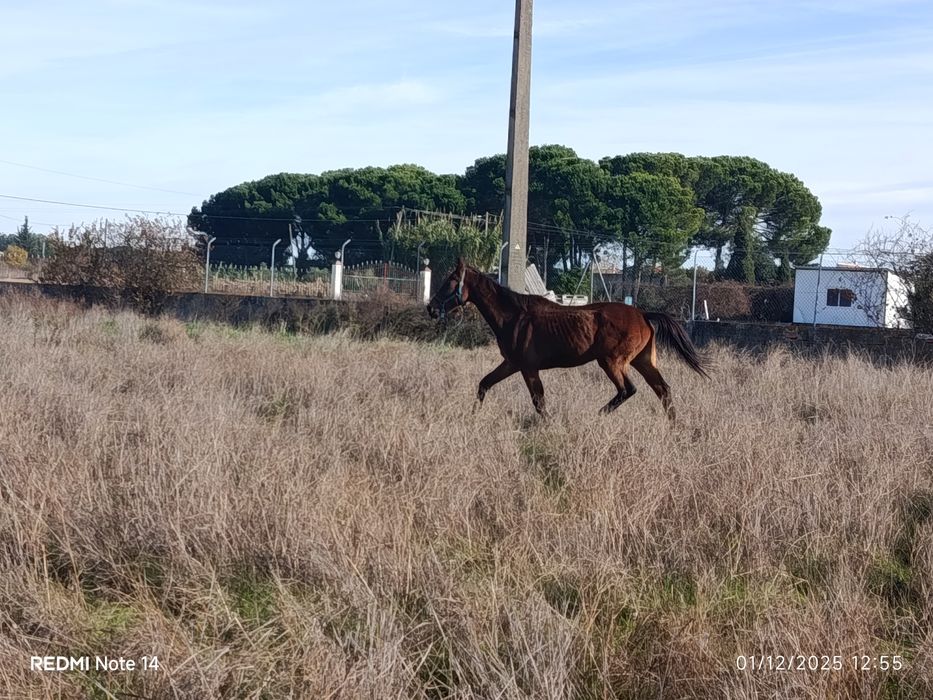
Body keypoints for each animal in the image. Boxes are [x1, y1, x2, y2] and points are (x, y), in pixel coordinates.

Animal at [426, 258, 708, 420]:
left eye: (450, 281)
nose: (431, 308)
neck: (514, 316)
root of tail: (642, 314)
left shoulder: (528, 368)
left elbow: (539, 402)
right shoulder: (511, 364)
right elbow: (484, 384)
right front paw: (472, 417)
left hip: (611, 362)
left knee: (627, 390)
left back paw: (597, 416)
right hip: (643, 361)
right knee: (663, 390)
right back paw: (674, 427)